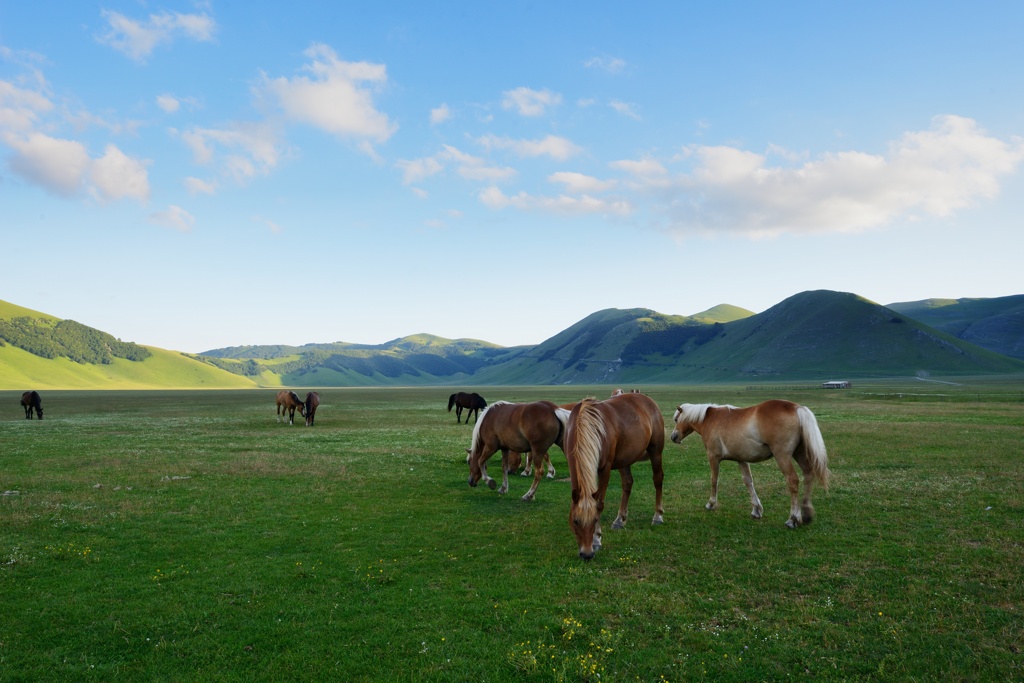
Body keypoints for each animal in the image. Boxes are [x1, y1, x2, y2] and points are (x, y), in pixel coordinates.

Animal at [564, 392, 665, 561]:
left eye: (595, 520)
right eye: (575, 521)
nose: (587, 554)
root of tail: (648, 400)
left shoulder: (605, 468)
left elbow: (599, 504)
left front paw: (597, 539)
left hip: (655, 451)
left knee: (658, 479)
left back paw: (657, 516)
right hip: (625, 459)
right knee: (627, 483)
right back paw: (620, 520)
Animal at [670, 400, 831, 529]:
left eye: (676, 419)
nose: (673, 437)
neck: (710, 419)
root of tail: (797, 408)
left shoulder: (713, 457)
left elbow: (714, 480)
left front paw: (711, 503)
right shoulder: (741, 459)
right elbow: (748, 482)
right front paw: (756, 509)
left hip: (782, 456)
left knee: (792, 480)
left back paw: (793, 519)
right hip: (799, 453)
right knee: (808, 474)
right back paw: (806, 514)